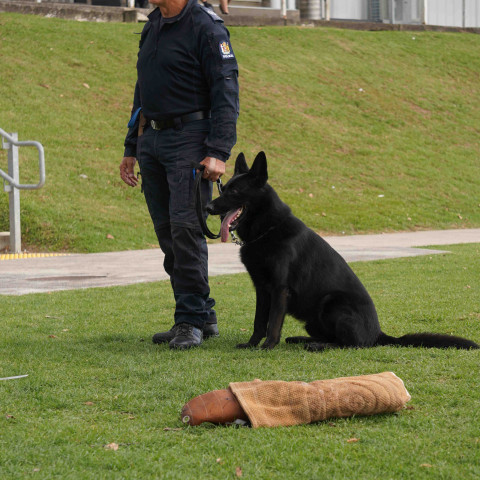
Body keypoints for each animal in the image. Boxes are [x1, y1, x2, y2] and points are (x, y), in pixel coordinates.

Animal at [205, 152, 476, 350]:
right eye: (223, 189)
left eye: (235, 191)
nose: (207, 207)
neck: (268, 228)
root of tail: (379, 334)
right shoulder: (262, 290)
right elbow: (259, 322)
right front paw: (251, 344)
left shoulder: (279, 289)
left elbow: (273, 323)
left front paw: (267, 347)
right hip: (313, 319)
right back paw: (304, 341)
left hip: (331, 303)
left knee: (351, 344)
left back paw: (317, 346)